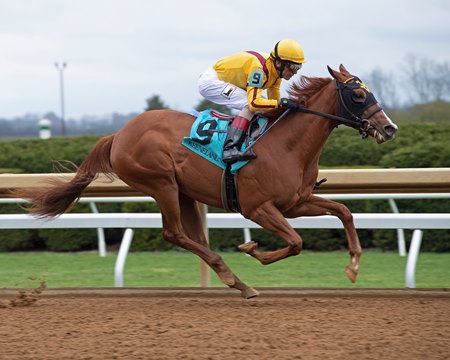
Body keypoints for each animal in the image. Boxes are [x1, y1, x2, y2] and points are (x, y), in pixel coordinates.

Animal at [14, 64, 398, 298]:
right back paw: (234, 278)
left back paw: (235, 280)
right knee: (174, 233)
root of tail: (119, 134)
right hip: (162, 183)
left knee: (192, 236)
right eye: (359, 95)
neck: (287, 145)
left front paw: (353, 266)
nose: (389, 127)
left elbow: (343, 211)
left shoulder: (296, 202)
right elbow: (295, 242)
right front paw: (253, 249)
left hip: (183, 190)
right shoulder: (258, 208)